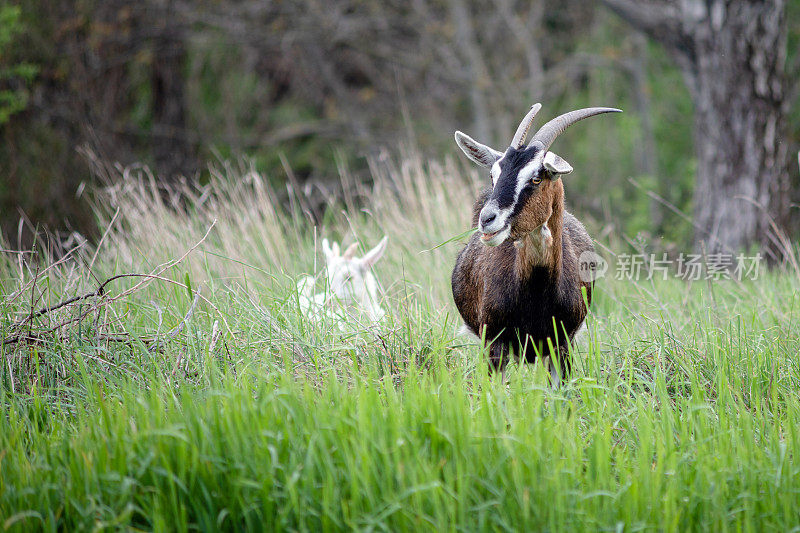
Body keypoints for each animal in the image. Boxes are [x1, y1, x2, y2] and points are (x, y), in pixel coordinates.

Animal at [450, 103, 620, 378]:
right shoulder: (495, 343)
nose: (488, 219)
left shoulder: (561, 345)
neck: (536, 291)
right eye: (493, 175)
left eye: (536, 178)